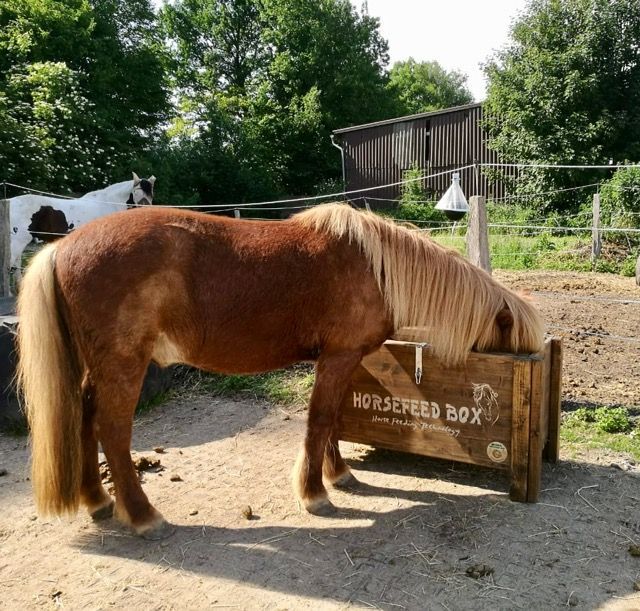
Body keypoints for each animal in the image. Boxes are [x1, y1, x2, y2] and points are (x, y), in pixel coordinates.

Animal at [16, 203, 544, 536]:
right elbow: (320, 420)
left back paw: (98, 502)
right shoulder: (339, 357)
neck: (375, 267)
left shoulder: (336, 359)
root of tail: (61, 248)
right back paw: (145, 516)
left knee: (85, 420)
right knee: (112, 430)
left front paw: (338, 475)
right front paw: (315, 494)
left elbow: (329, 422)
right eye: (515, 346)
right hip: (125, 365)